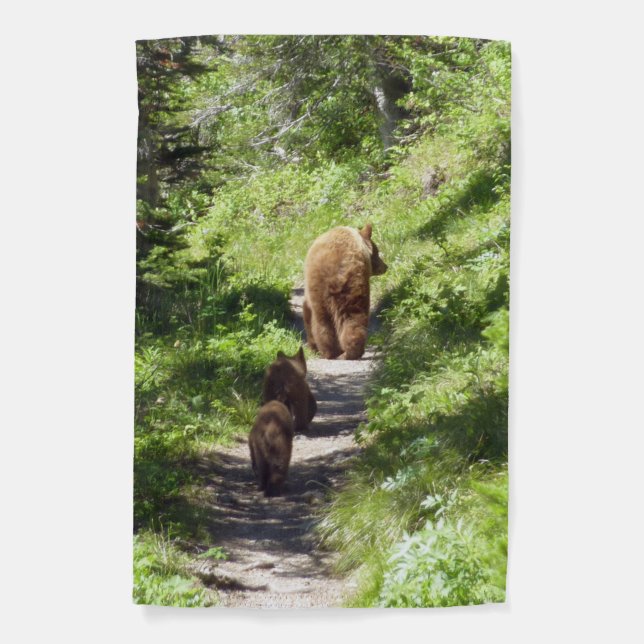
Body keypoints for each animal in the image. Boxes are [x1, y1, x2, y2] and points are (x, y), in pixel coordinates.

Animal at [303, 223, 387, 360]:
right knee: (349, 317)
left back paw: (334, 352)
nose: (385, 266)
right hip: (348, 286)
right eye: (377, 251)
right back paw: (344, 352)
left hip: (330, 290)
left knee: (327, 321)